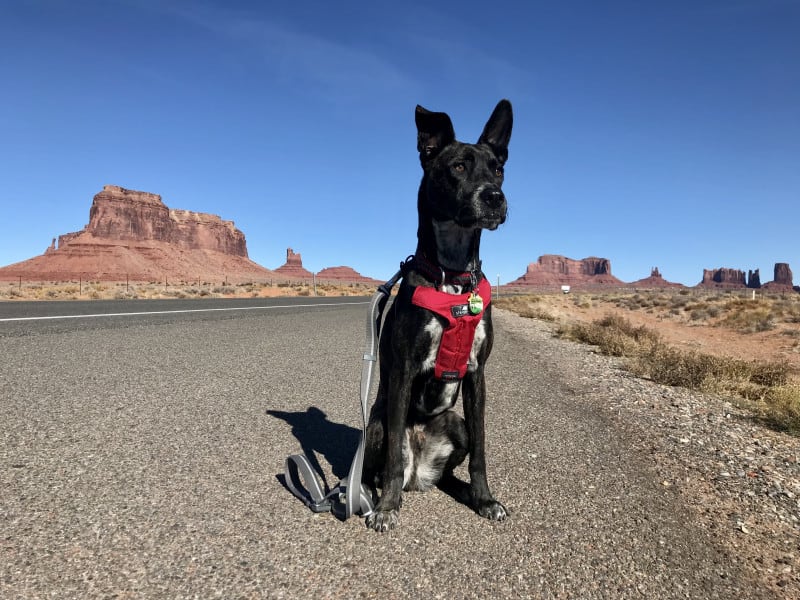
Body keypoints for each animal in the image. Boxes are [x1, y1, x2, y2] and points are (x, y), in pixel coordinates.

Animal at [362, 101, 512, 532]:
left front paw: (484, 498)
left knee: (449, 470)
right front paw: (387, 507)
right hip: (375, 425)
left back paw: (459, 488)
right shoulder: (403, 370)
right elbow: (392, 458)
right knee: (383, 464)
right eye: (458, 166)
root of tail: (420, 472)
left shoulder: (477, 374)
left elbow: (481, 450)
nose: (494, 197)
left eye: (498, 168)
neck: (453, 275)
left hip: (454, 423)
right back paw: (372, 493)